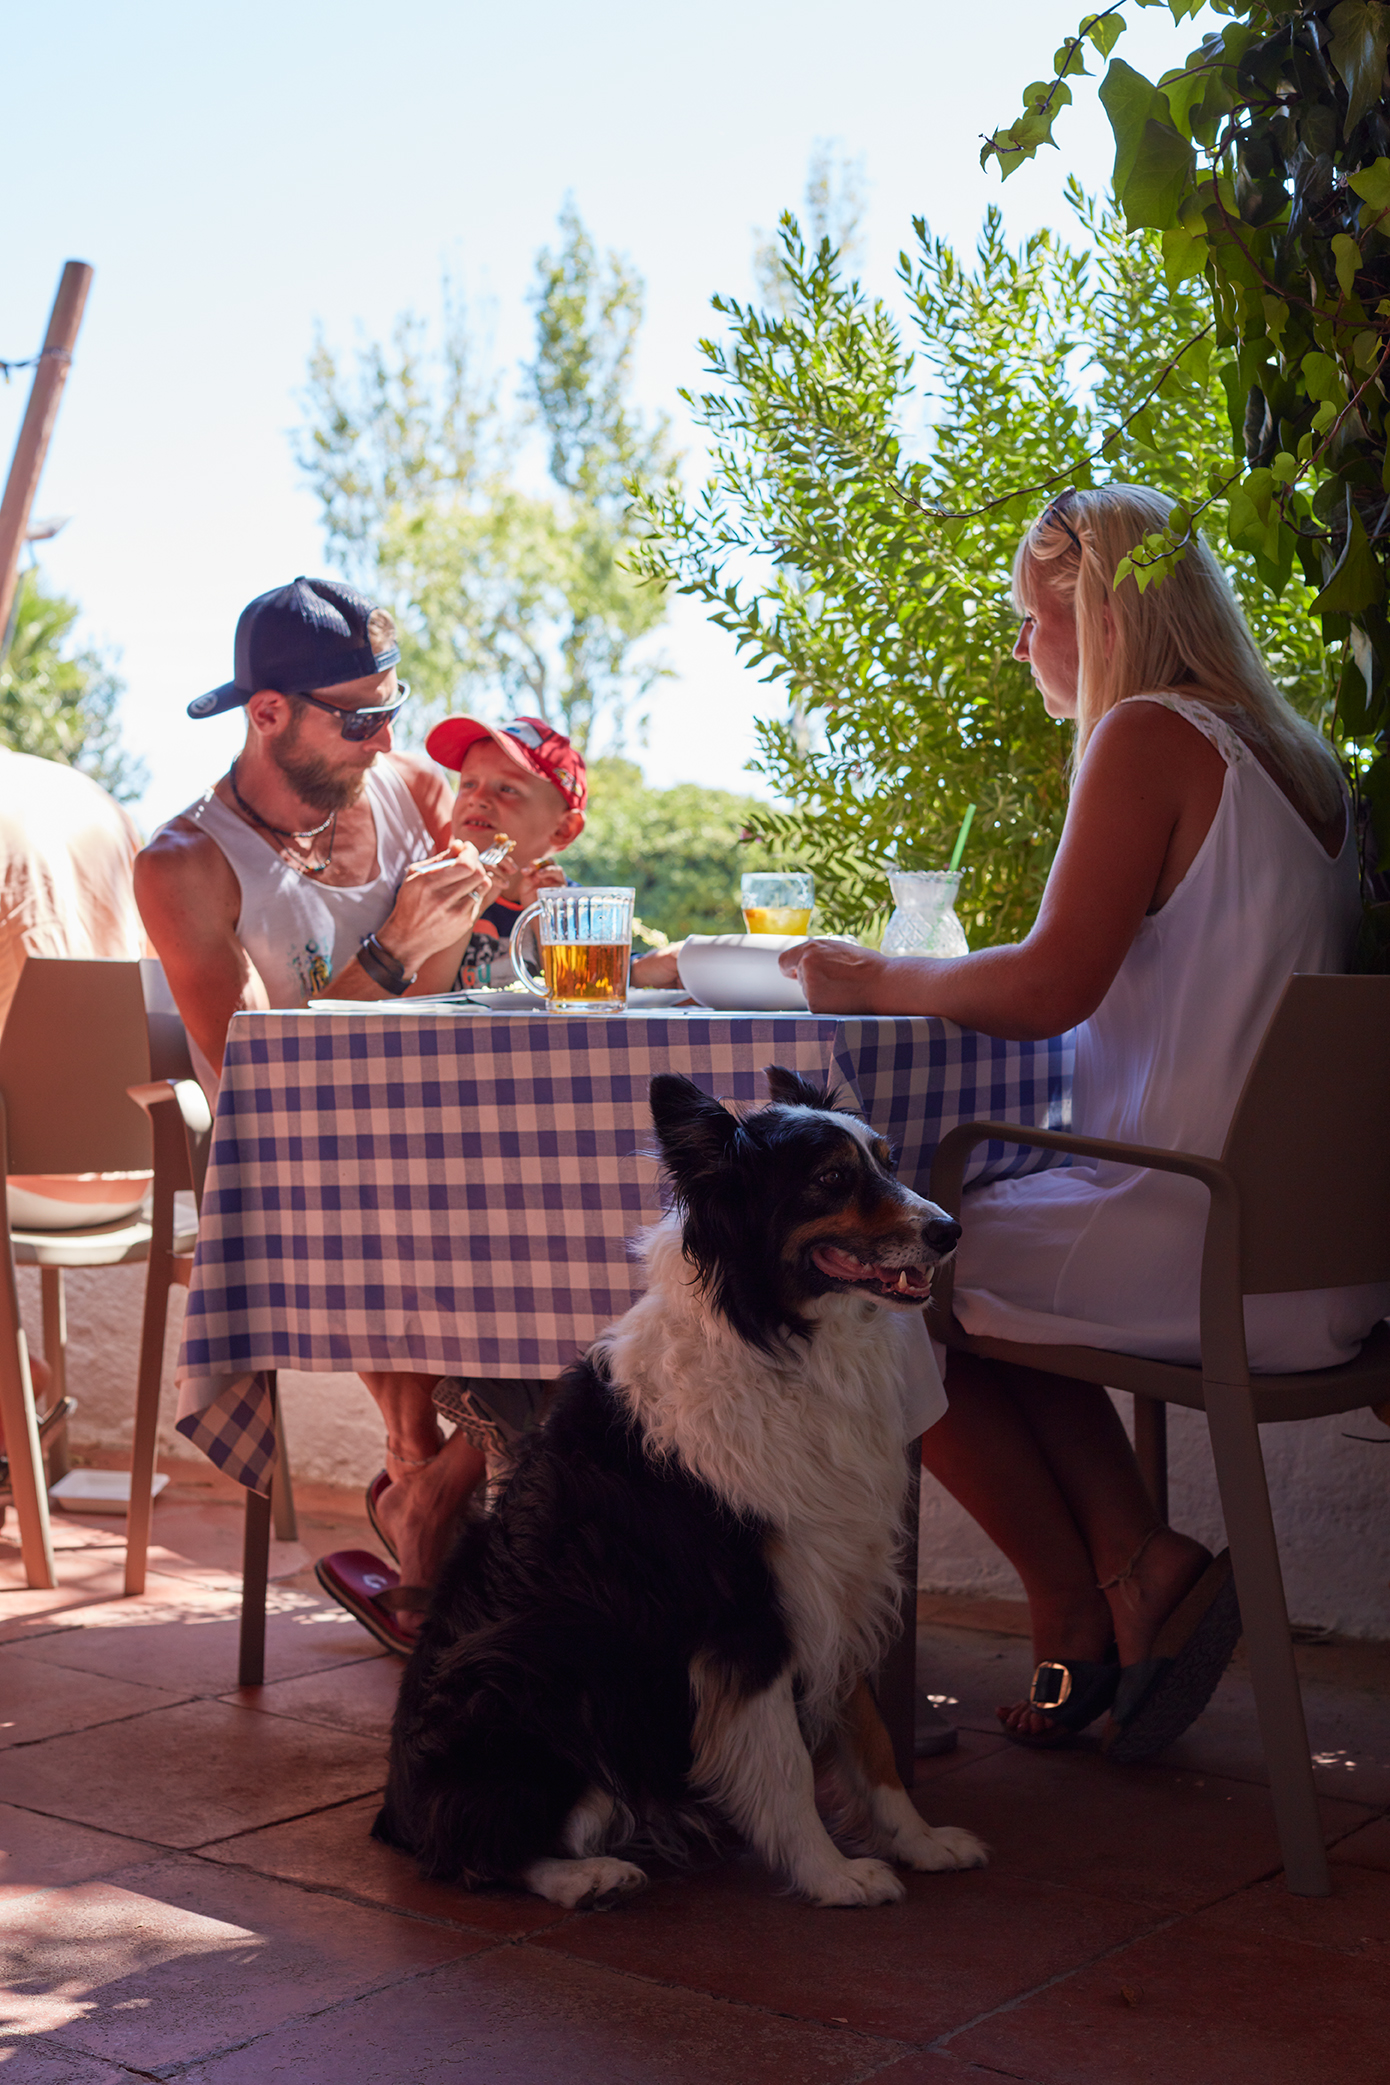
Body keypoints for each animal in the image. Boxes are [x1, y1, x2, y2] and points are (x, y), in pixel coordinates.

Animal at [374, 1065, 988, 1908]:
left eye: (887, 1161)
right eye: (830, 1179)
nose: (949, 1230)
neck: (781, 1345)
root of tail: (395, 1807)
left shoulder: (834, 1576)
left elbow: (872, 1736)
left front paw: (920, 1842)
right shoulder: (745, 1615)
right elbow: (789, 1767)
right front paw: (831, 1874)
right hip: (535, 1678)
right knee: (476, 1845)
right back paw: (587, 1875)